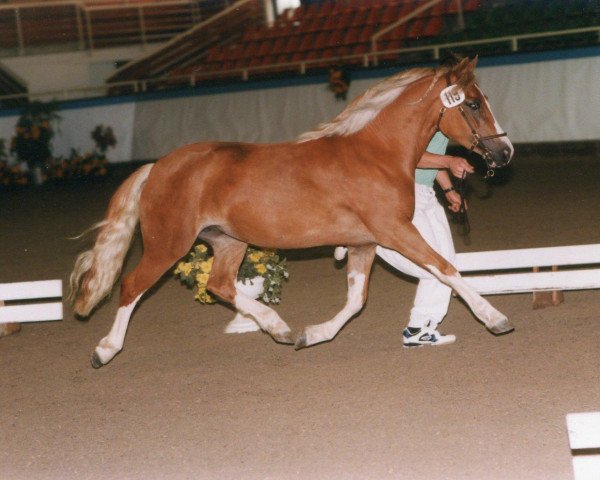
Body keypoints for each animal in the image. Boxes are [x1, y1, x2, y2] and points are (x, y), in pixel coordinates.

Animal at [69, 56, 510, 368]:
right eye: (473, 104)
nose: (504, 152)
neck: (375, 155)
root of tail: (158, 167)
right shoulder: (395, 232)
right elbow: (446, 268)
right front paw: (495, 318)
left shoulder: (363, 244)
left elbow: (356, 300)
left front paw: (310, 335)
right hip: (168, 244)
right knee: (131, 286)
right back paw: (104, 350)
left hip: (228, 241)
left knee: (220, 285)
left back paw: (278, 328)